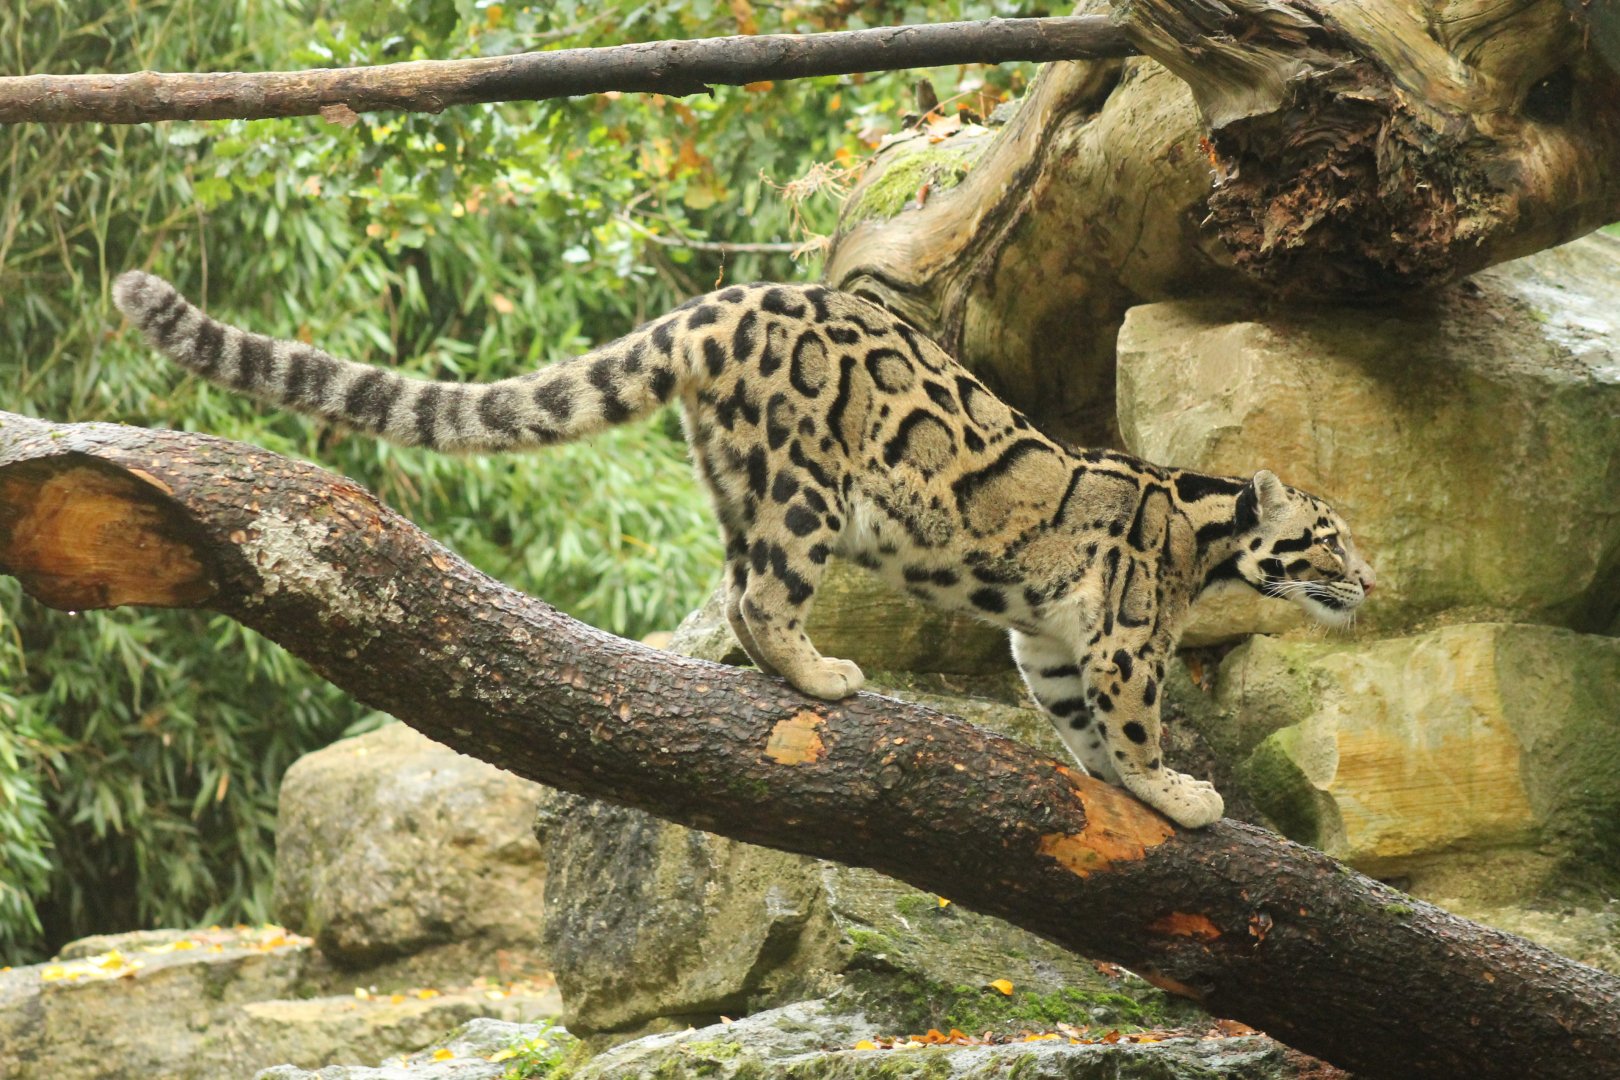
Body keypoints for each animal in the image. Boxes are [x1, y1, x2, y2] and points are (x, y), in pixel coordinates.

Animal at [112, 270, 1374, 828]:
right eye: (1326, 540)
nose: (1370, 580)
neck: (1200, 536)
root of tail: (723, 302)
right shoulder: (1122, 639)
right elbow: (1135, 718)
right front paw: (1175, 791)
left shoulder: (1054, 641)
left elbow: (1072, 718)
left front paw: (1114, 783)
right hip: (807, 489)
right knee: (760, 599)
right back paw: (823, 674)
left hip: (738, 476)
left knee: (728, 583)